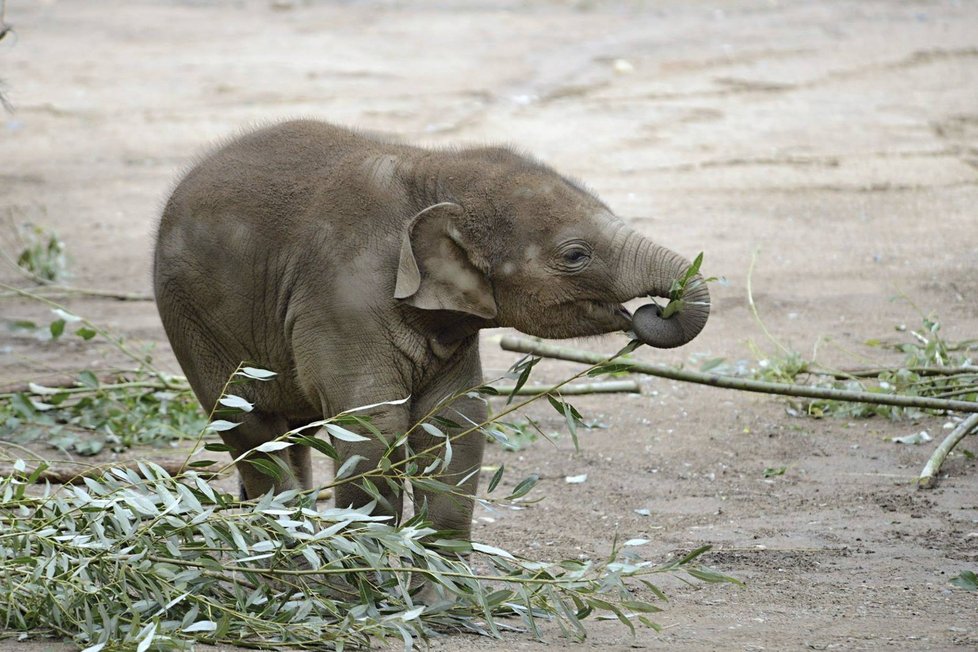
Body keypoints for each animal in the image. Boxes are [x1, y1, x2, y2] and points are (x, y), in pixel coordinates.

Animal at [152, 119, 704, 536]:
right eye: (575, 255)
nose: (655, 309)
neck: (434, 168)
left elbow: (456, 423)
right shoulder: (341, 297)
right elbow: (372, 427)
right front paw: (362, 586)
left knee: (293, 433)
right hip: (191, 320)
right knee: (248, 423)